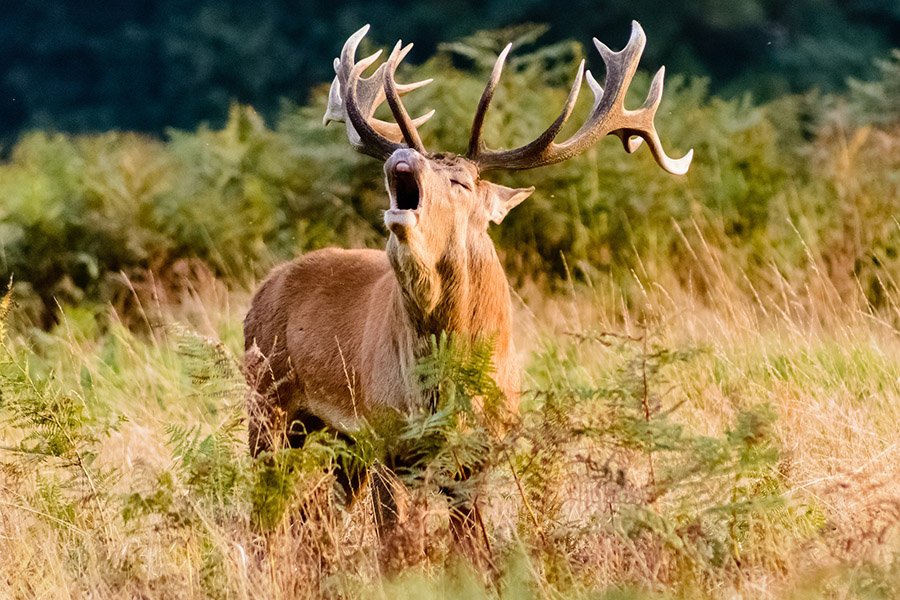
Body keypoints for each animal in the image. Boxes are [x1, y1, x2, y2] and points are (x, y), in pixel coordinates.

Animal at [243, 21, 691, 553]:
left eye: (459, 182)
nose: (401, 156)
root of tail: (262, 289)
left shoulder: (479, 453)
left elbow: (472, 549)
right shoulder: (385, 434)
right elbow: (395, 547)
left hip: (335, 443)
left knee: (310, 519)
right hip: (267, 404)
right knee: (264, 512)